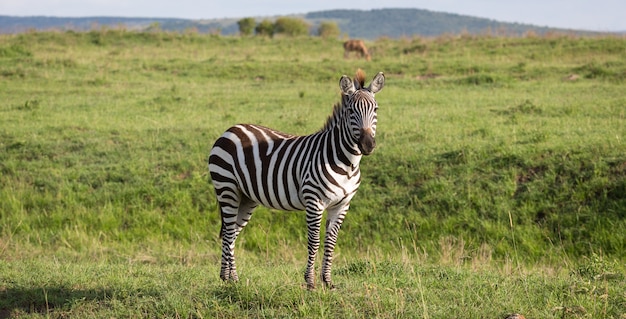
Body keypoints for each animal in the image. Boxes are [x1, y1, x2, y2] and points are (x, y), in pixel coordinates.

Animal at [210, 70, 382, 290]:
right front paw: (310, 282)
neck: (347, 164)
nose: (367, 145)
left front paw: (328, 282)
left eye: (375, 109)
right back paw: (232, 279)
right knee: (229, 231)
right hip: (227, 187)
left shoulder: (342, 205)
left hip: (246, 198)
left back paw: (228, 277)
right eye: (351, 111)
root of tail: (231, 129)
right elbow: (314, 241)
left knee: (230, 234)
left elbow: (331, 242)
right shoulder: (314, 201)